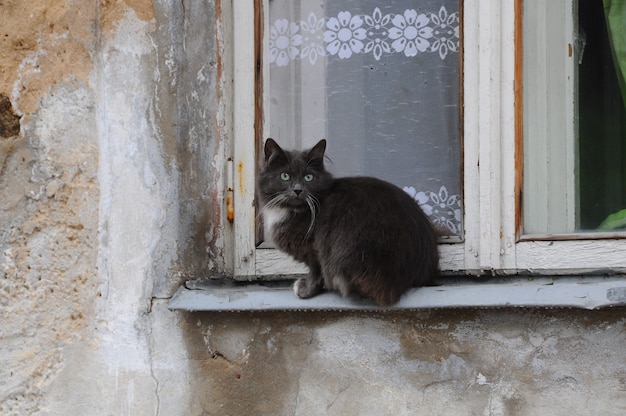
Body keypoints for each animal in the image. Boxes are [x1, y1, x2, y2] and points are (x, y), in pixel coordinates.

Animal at [255, 138, 438, 304]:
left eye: (308, 177)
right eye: (285, 176)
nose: (298, 190)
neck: (291, 211)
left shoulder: (314, 249)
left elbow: (316, 271)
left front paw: (305, 290)